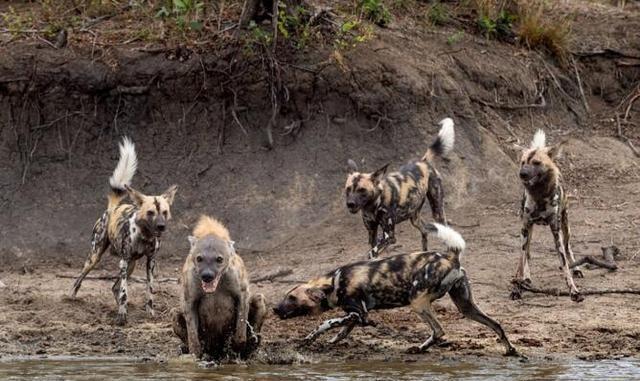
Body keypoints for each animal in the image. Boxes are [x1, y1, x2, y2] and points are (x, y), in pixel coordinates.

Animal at [69, 138, 179, 326]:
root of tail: (112, 208)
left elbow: (149, 290)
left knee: (114, 287)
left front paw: (149, 314)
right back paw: (70, 299)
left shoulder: (150, 262)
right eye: (150, 212)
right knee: (80, 280)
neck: (145, 235)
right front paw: (122, 316)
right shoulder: (124, 261)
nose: (161, 227)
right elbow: (124, 292)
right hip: (96, 258)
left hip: (131, 264)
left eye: (164, 212)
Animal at [171, 215, 266, 358]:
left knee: (259, 300)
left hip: (259, 301)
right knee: (175, 314)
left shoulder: (242, 292)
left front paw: (237, 348)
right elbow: (192, 334)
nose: (207, 275)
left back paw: (250, 346)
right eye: (199, 258)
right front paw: (195, 355)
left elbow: (241, 325)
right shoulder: (189, 297)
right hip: (175, 314)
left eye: (219, 259)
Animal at [272, 221, 516, 354]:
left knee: (439, 330)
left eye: (291, 298)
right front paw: (332, 341)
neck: (335, 282)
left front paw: (311, 337)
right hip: (465, 307)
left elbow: (326, 323)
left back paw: (419, 348)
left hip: (417, 303)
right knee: (496, 325)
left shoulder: (358, 314)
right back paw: (510, 350)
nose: (274, 309)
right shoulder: (356, 316)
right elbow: (342, 331)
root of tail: (450, 256)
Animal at [344, 116, 456, 258]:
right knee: (424, 231)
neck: (373, 204)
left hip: (437, 212)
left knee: (445, 230)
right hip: (414, 218)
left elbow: (371, 253)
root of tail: (423, 162)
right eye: (348, 189)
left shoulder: (389, 237)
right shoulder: (372, 233)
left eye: (362, 190)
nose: (350, 204)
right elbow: (373, 252)